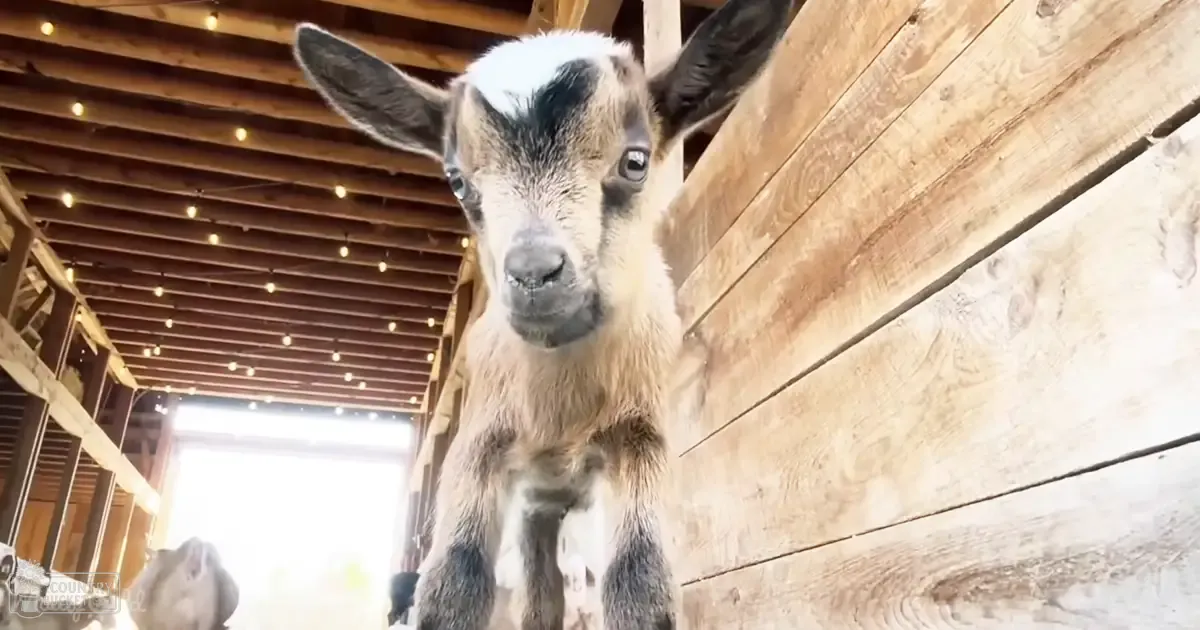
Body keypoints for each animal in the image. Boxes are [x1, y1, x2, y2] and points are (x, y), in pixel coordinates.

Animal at [292, 0, 793, 626]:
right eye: (458, 181)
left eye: (635, 161)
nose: (533, 273)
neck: (562, 405)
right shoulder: (480, 446)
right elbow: (454, 581)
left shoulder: (640, 437)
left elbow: (640, 582)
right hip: (538, 503)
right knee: (537, 594)